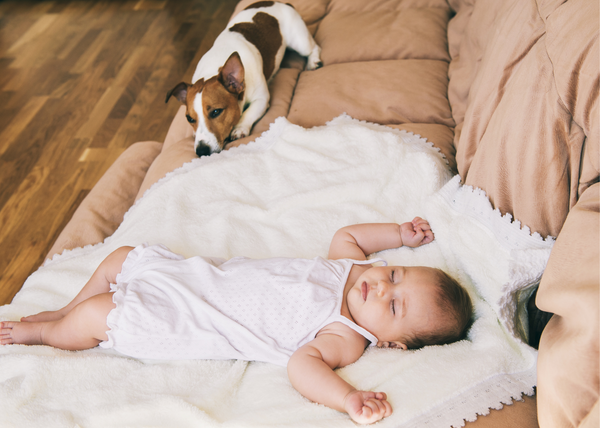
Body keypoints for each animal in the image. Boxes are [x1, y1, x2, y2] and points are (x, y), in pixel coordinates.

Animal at [164, 1, 324, 156]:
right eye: (190, 119)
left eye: (216, 112)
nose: (201, 151)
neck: (215, 66)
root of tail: (282, 3)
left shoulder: (261, 99)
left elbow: (248, 113)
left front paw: (240, 128)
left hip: (300, 41)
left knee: (314, 48)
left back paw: (313, 62)